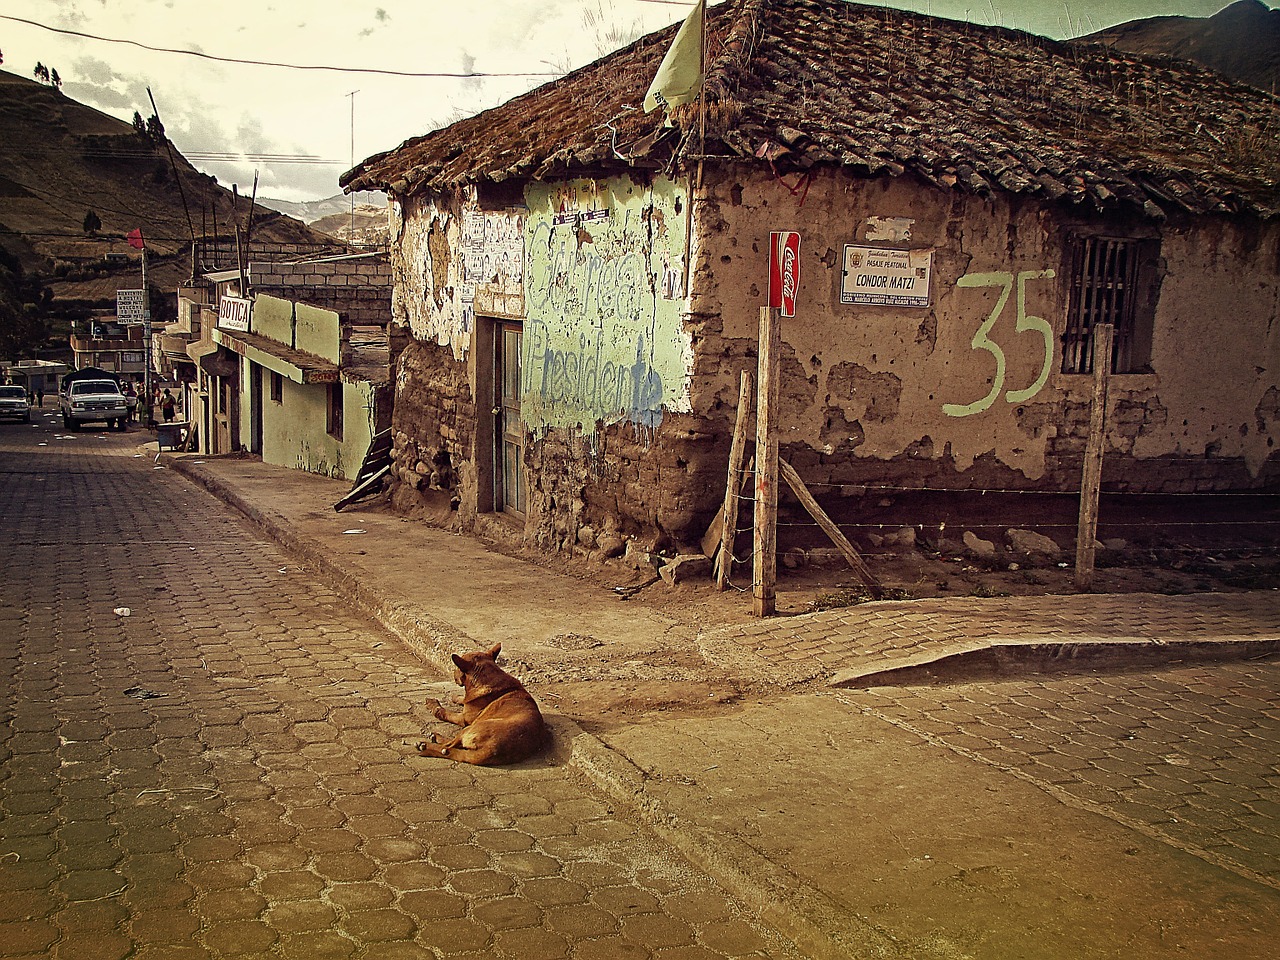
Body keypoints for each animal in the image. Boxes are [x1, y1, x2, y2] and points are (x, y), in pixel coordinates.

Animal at [414, 647, 545, 768]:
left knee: (447, 747)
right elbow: (463, 699)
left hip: (469, 728)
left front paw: (435, 706)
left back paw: (426, 744)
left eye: (457, 668)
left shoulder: (463, 719)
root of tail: (491, 751)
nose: (453, 675)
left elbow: (446, 713)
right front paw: (456, 697)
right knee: (451, 748)